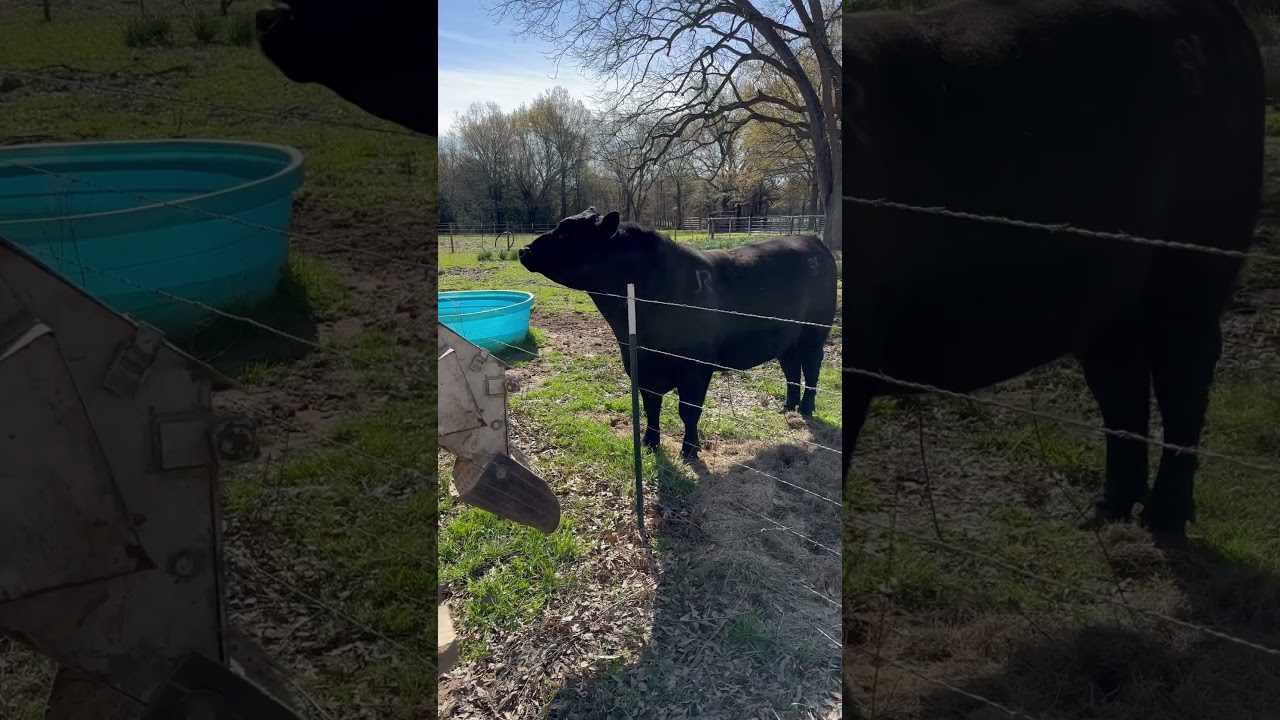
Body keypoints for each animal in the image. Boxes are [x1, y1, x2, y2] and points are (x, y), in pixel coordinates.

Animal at [519, 209, 839, 458]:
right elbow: (651, 407)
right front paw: (650, 443)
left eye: (566, 234)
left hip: (814, 334)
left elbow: (689, 411)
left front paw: (689, 450)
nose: (524, 250)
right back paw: (788, 407)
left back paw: (806, 408)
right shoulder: (641, 367)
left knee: (812, 369)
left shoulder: (695, 369)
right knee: (791, 370)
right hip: (788, 339)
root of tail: (814, 241)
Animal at [842, 0, 1264, 540]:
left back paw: (1161, 522)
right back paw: (1104, 515)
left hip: (1194, 259)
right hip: (1109, 292)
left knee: (1184, 374)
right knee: (1122, 380)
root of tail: (1227, 18)